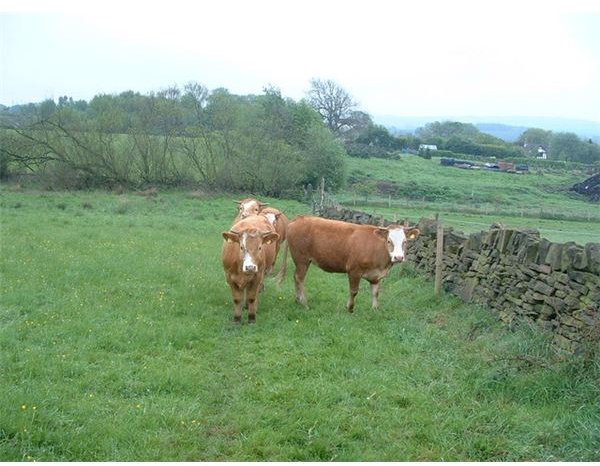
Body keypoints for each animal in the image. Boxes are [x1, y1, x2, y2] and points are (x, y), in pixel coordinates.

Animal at [284, 216, 418, 312]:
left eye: (405, 242)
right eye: (389, 241)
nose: (399, 257)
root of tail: (299, 218)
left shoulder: (376, 276)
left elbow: (376, 292)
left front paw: (375, 309)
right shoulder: (354, 271)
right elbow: (354, 291)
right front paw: (350, 308)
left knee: (295, 277)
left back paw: (297, 300)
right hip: (302, 259)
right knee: (299, 278)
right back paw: (304, 302)